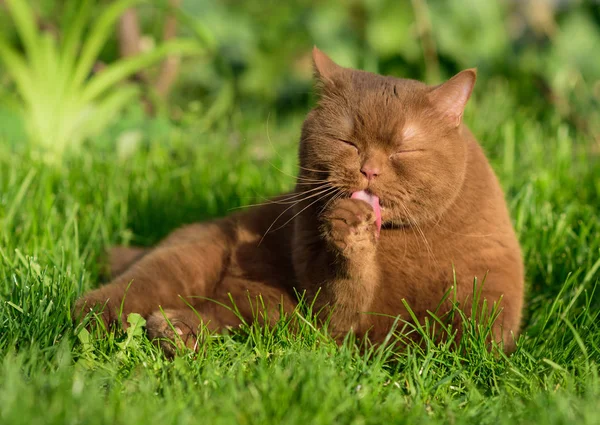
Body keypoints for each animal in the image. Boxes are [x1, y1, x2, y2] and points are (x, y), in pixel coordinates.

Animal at [74, 48, 524, 354]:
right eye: (347, 142)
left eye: (403, 150)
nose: (369, 171)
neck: (405, 239)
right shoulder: (329, 312)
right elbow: (345, 293)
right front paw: (349, 230)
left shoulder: (486, 303)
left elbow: (466, 339)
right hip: (191, 255)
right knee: (137, 287)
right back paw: (97, 315)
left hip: (256, 312)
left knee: (222, 316)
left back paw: (174, 330)